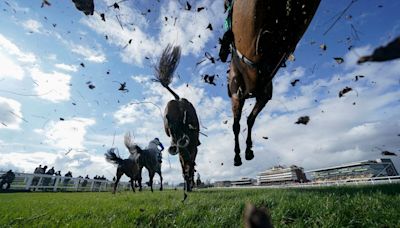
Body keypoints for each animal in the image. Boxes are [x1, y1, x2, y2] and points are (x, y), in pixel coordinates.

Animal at [227, 0, 320, 166]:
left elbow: (245, 122)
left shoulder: (255, 96)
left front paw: (245, 151)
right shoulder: (250, 96)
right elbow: (242, 123)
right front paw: (242, 153)